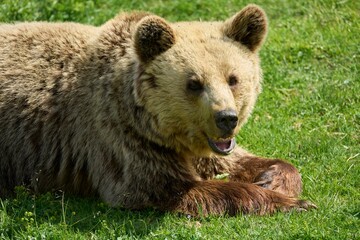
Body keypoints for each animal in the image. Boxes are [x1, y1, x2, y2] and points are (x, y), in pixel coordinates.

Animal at [0, 5, 316, 216]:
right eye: (194, 83)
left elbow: (236, 161)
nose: (227, 118)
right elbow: (166, 187)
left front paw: (273, 178)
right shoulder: (120, 140)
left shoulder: (202, 147)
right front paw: (292, 203)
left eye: (233, 79)